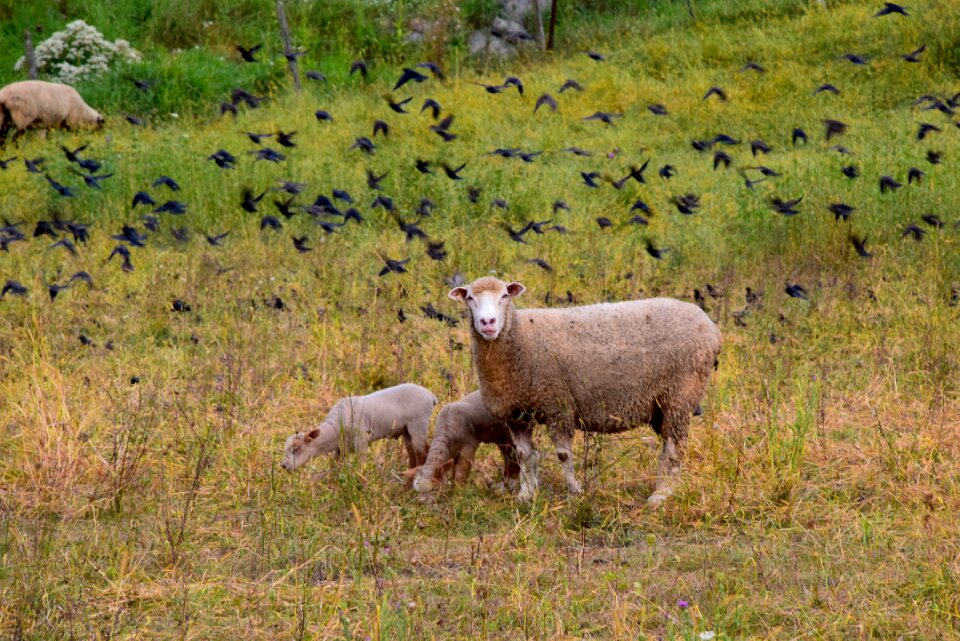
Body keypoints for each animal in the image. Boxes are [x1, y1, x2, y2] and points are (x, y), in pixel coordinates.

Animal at [282, 382, 438, 472]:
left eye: (297, 449)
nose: (283, 466)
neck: (335, 429)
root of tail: (430, 395)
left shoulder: (361, 442)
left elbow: (361, 466)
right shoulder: (341, 448)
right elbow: (334, 466)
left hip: (418, 423)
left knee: (422, 452)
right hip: (406, 430)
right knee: (413, 453)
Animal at [448, 276, 720, 504]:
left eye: (505, 296)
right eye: (470, 298)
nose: (488, 322)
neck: (520, 337)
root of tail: (712, 328)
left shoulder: (558, 406)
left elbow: (563, 455)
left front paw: (574, 492)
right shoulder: (516, 414)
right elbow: (525, 455)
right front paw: (526, 494)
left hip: (680, 394)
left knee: (675, 446)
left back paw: (662, 494)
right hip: (664, 405)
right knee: (670, 443)